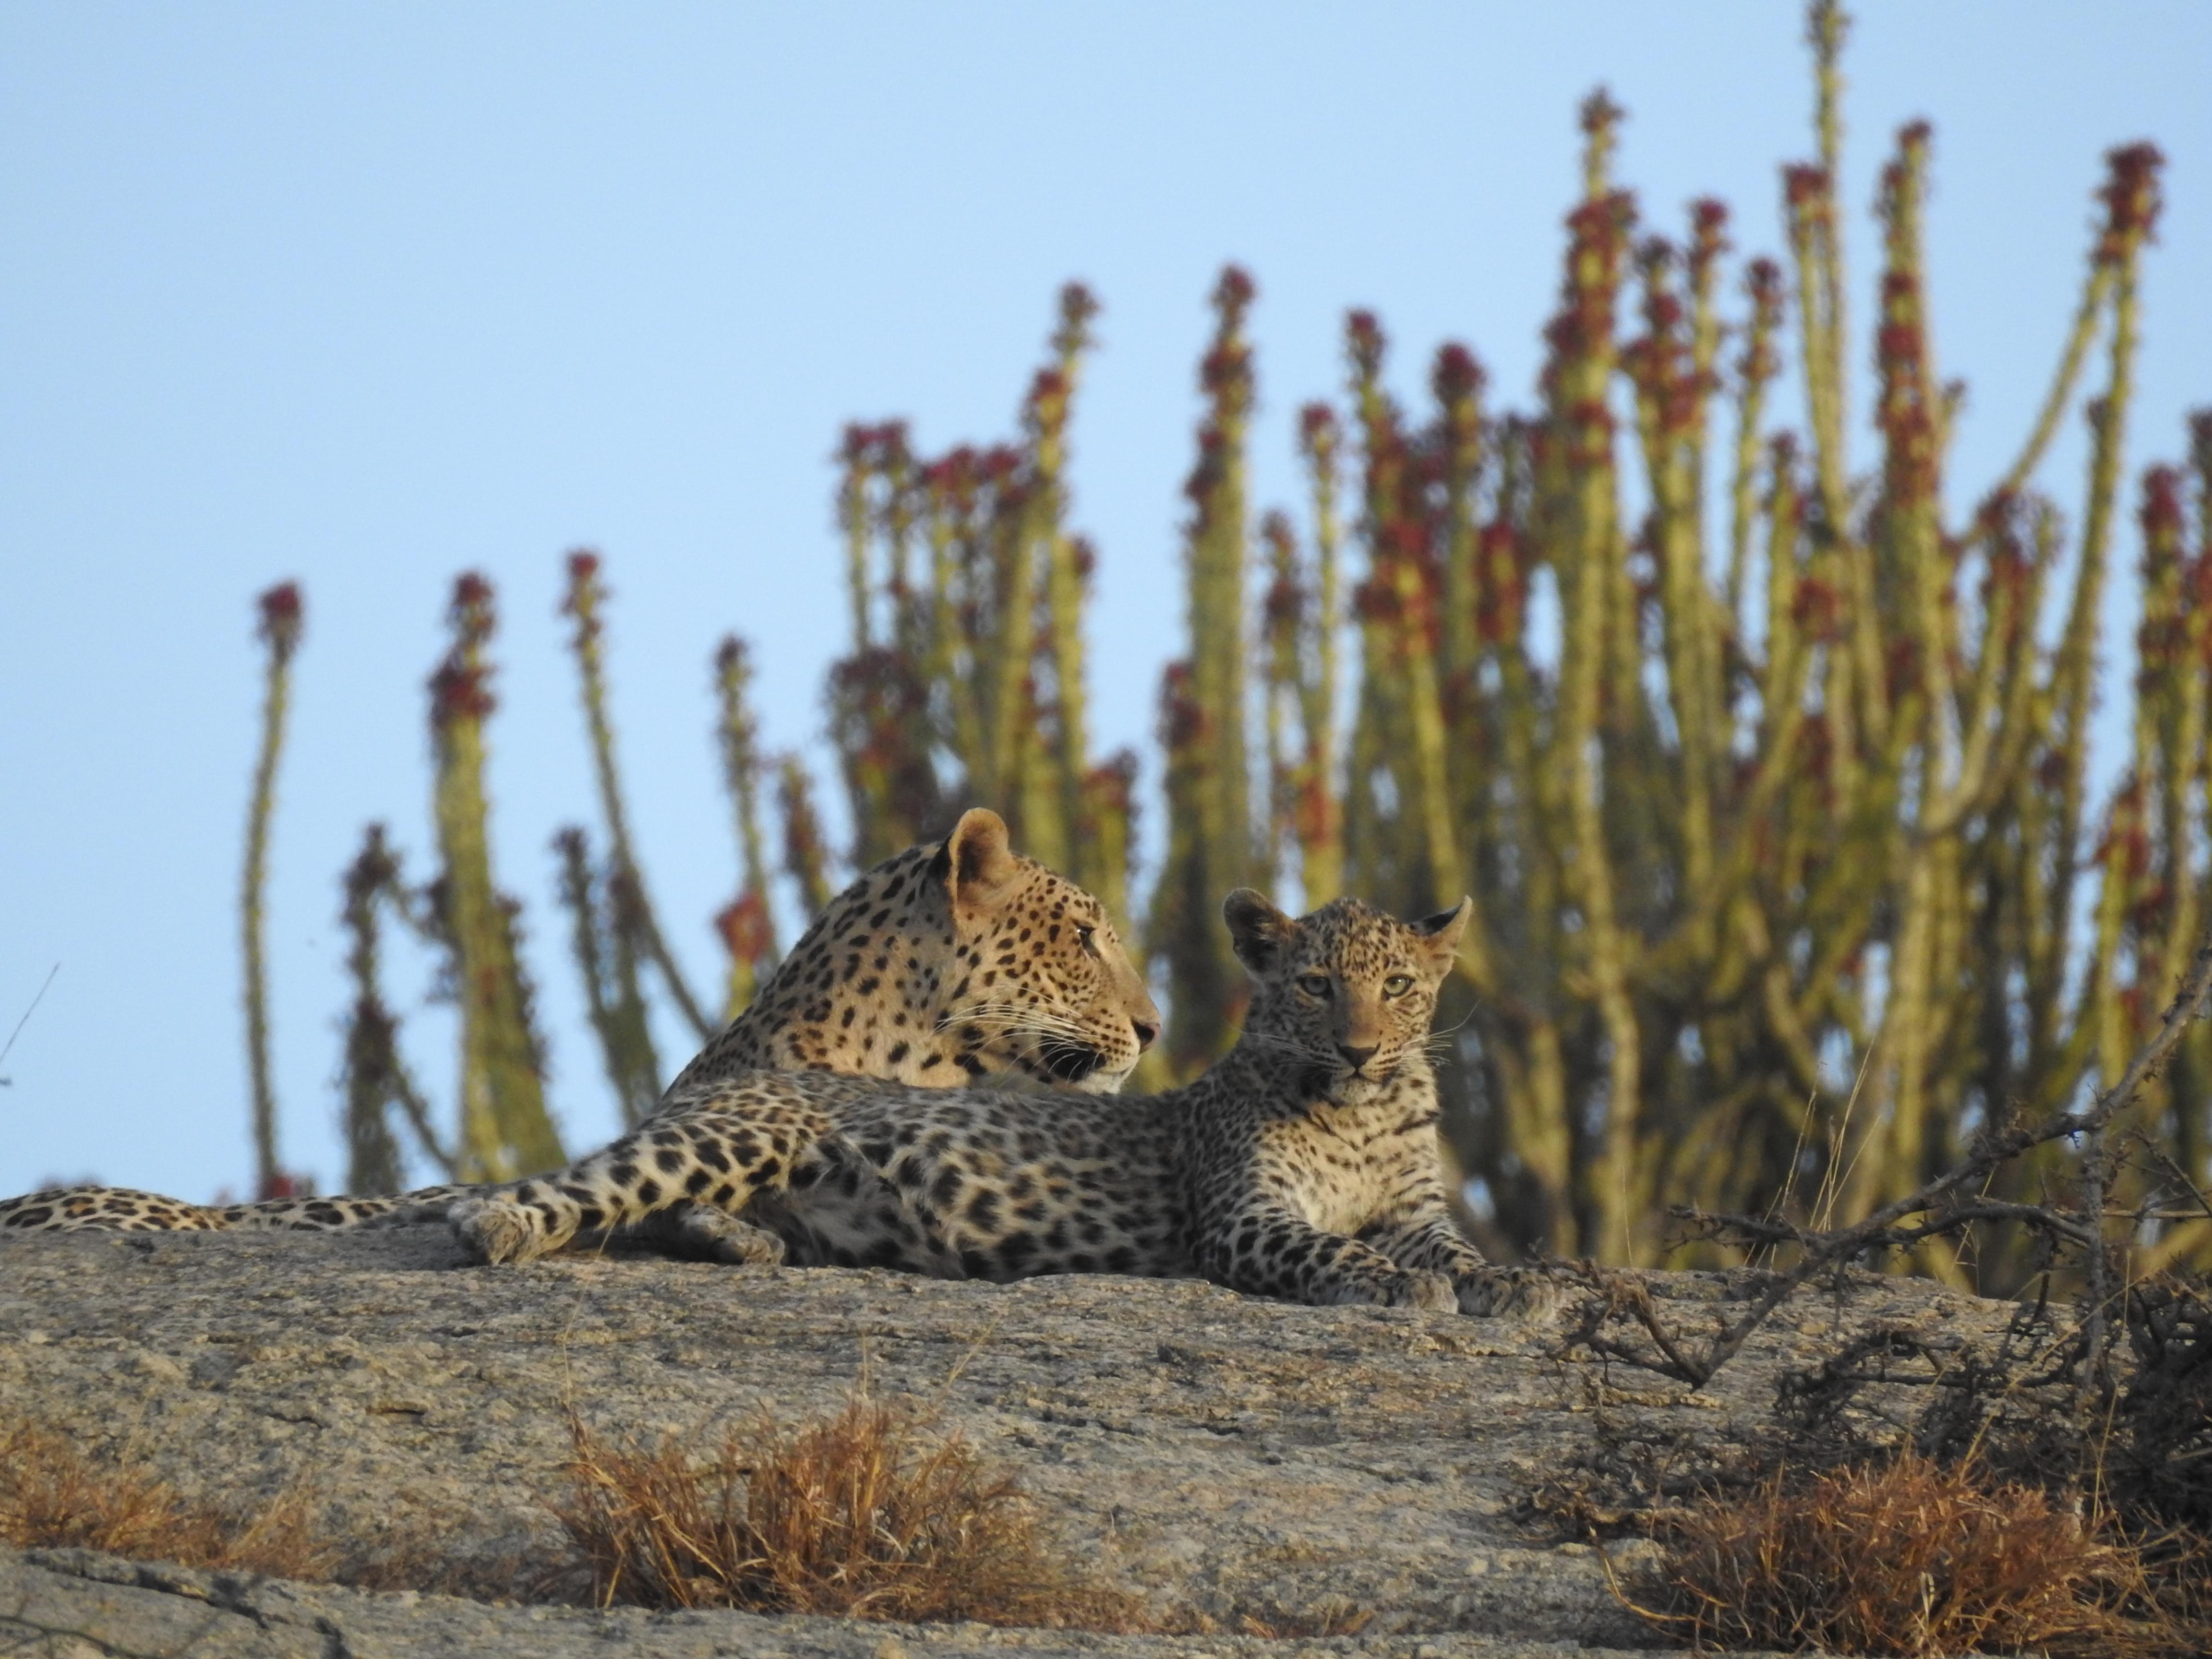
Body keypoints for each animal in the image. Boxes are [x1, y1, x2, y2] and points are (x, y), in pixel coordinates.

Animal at [446, 887, 1556, 1320]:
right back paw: (493, 1226)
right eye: (1317, 986)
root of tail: (740, 1070)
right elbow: (1335, 1250)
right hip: (726, 1139)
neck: (1358, 1112)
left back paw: (741, 1241)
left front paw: (1520, 1286)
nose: (1362, 1048)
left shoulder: (1414, 1208)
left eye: (1399, 986)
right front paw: (1398, 1287)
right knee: (580, 1189)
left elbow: (1459, 1254)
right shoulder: (1245, 1216)